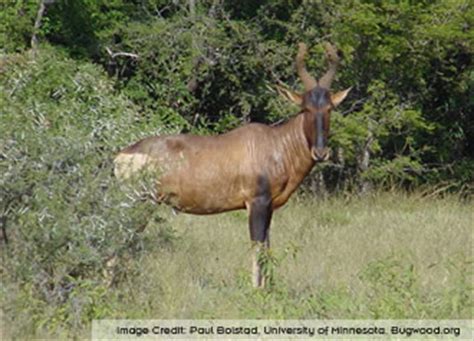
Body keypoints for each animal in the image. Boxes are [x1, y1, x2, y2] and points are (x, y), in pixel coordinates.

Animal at [114, 41, 352, 286]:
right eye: (305, 108)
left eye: (329, 108)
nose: (320, 152)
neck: (274, 143)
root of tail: (123, 154)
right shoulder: (256, 204)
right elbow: (257, 249)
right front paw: (255, 290)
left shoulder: (269, 207)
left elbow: (267, 248)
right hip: (137, 204)